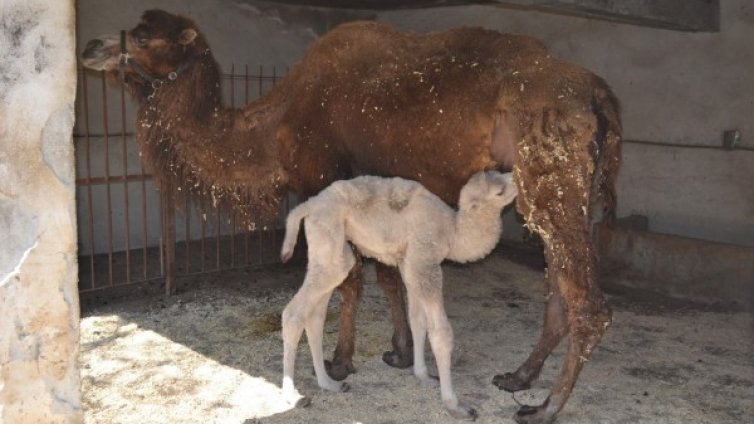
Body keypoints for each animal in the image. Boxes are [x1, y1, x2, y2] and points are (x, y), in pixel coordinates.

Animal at [280, 171, 516, 420]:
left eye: (502, 174)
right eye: (499, 191)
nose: (516, 179)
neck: (453, 231)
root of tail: (308, 206)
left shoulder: (409, 265)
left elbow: (418, 320)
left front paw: (424, 376)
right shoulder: (425, 263)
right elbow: (441, 332)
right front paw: (455, 406)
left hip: (329, 252)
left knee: (315, 315)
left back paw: (329, 383)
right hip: (328, 239)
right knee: (293, 314)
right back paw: (293, 396)